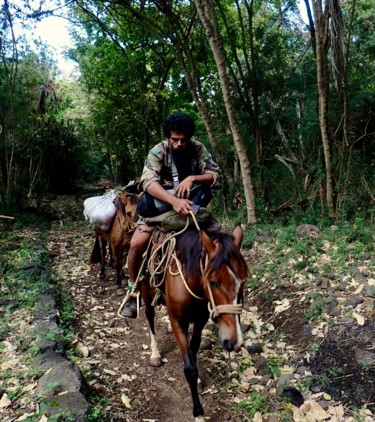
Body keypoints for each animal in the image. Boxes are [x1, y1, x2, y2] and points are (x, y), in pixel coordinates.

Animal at [140, 224, 248, 418]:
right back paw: (155, 354)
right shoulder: (178, 322)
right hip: (147, 290)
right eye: (213, 282)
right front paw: (199, 413)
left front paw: (197, 379)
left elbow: (194, 347)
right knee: (150, 316)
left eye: (242, 282)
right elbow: (189, 368)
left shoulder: (200, 319)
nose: (234, 342)